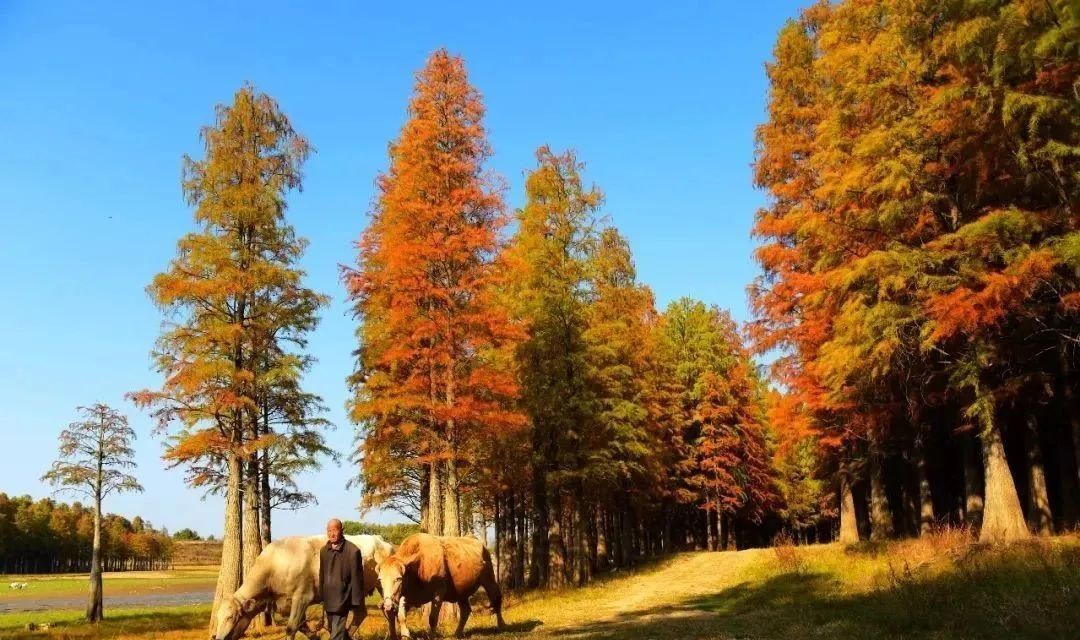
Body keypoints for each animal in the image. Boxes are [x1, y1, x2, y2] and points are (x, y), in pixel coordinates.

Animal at [210, 530, 393, 638]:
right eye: (218, 617)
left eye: (231, 617)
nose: (218, 637)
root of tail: (379, 539)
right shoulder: (285, 603)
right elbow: (302, 627)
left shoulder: (302, 597)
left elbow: (291, 627)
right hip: (358, 591)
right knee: (361, 613)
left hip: (384, 585)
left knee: (390, 612)